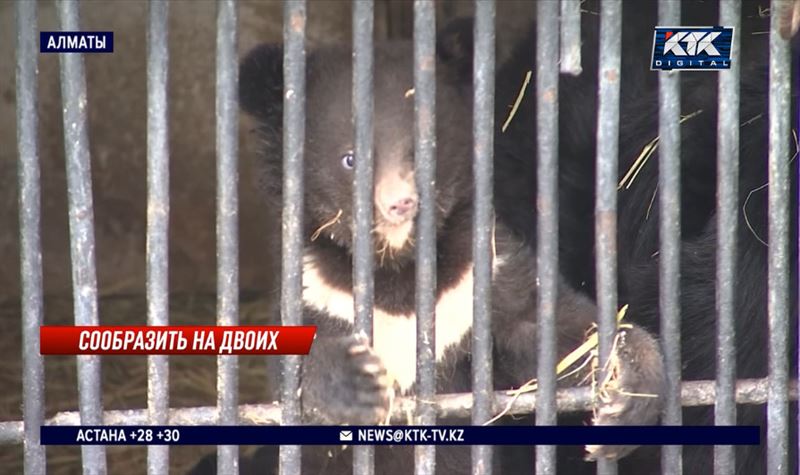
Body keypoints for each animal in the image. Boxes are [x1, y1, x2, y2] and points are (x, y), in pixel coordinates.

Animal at [233, 25, 664, 475]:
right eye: (350, 159)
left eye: (425, 149)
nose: (400, 203)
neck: (398, 268)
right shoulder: (315, 287)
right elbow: (292, 363)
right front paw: (355, 383)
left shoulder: (483, 271)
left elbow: (552, 326)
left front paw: (630, 388)